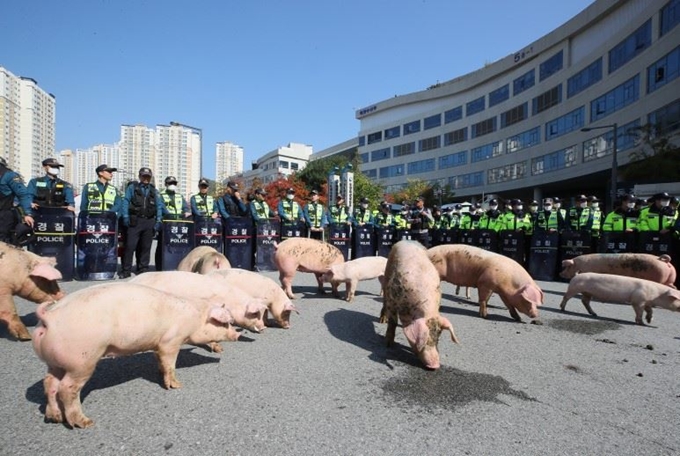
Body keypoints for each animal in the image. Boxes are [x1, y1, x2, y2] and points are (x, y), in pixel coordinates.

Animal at [32, 284, 236, 430]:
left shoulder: (158, 345)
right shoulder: (170, 341)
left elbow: (160, 361)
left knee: (49, 383)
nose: (237, 334)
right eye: (224, 323)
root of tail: (49, 317)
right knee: (66, 388)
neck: (195, 317)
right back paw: (85, 423)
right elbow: (170, 364)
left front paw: (159, 372)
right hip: (82, 360)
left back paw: (54, 417)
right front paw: (177, 386)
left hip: (55, 363)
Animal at [380, 240, 460, 368]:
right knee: (384, 300)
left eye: (438, 336)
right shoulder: (393, 299)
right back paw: (382, 321)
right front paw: (388, 344)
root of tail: (407, 240)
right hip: (388, 275)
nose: (435, 365)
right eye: (425, 340)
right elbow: (392, 322)